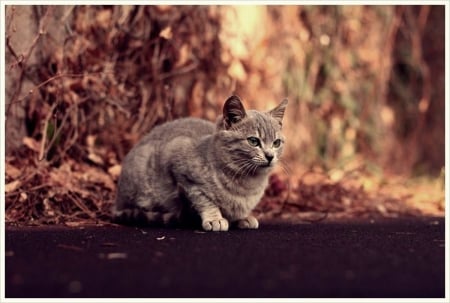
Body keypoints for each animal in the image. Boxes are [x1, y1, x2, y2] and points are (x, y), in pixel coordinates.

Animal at [113, 96, 288, 232]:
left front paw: (242, 217)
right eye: (253, 141)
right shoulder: (181, 167)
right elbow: (204, 199)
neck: (247, 184)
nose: (270, 156)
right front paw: (215, 218)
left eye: (276, 143)